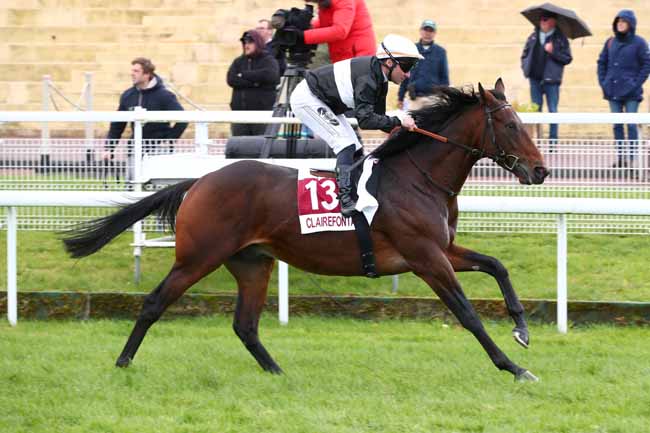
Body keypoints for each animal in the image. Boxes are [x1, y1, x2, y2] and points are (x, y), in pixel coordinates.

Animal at [62, 79, 548, 382]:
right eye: (510, 125)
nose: (541, 171)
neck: (417, 177)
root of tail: (199, 182)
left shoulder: (441, 250)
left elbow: (497, 266)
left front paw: (522, 330)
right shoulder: (425, 258)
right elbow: (467, 314)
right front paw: (513, 367)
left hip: (251, 263)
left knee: (245, 325)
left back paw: (278, 372)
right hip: (198, 256)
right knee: (154, 303)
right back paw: (123, 362)